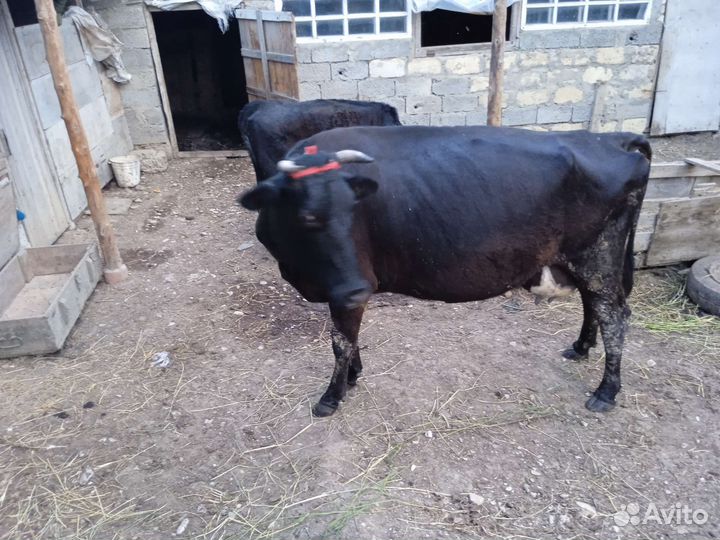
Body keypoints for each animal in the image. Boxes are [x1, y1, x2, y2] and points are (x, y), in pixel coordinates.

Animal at [238, 125, 652, 417]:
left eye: (352, 209)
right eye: (308, 217)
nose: (356, 287)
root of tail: (609, 137)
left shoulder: (349, 287)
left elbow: (341, 342)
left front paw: (331, 396)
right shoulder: (339, 289)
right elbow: (349, 339)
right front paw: (353, 377)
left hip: (598, 256)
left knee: (614, 316)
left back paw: (606, 392)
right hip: (586, 261)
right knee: (593, 305)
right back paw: (580, 348)